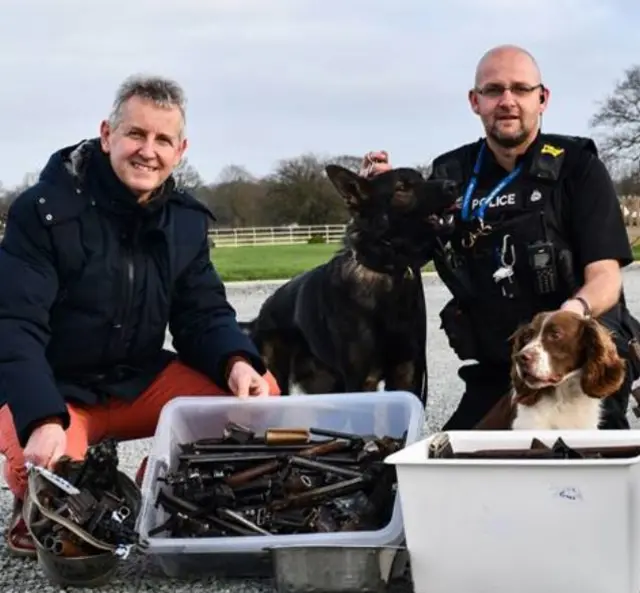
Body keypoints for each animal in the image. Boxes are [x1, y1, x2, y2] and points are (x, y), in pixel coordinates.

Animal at [240, 166, 456, 404]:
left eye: (423, 178)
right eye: (401, 188)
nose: (453, 185)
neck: (385, 269)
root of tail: (259, 317)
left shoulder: (407, 373)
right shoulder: (363, 380)